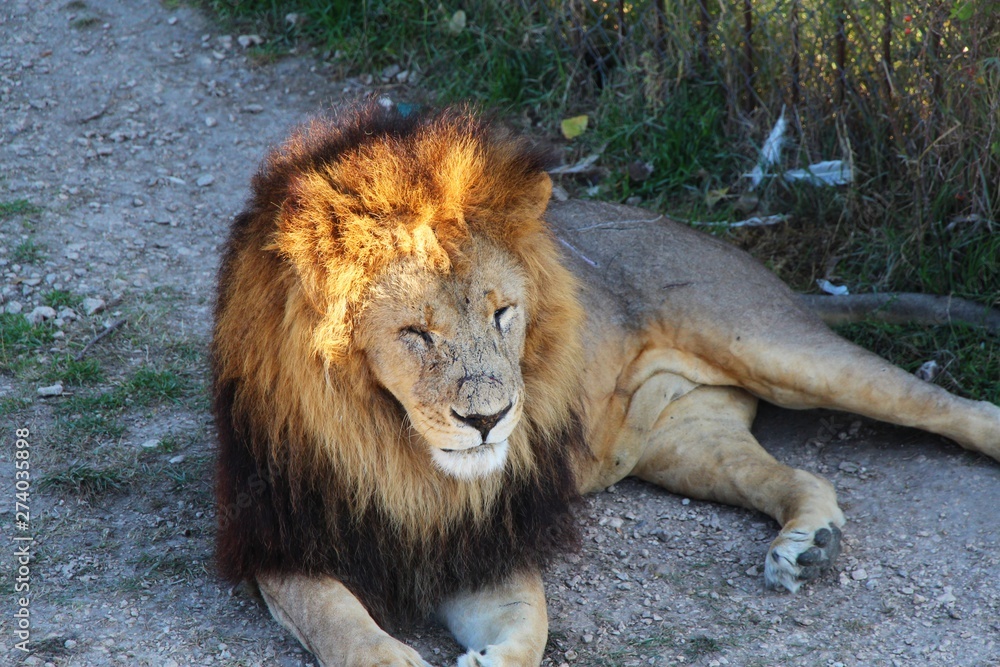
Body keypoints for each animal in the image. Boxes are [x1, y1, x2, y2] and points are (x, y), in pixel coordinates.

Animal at [212, 102, 1000, 667]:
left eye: (504, 314)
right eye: (416, 334)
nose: (489, 420)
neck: (400, 452)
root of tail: (702, 233)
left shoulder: (493, 537)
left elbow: (530, 626)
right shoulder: (282, 538)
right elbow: (338, 619)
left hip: (777, 345)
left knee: (950, 403)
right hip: (685, 443)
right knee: (800, 476)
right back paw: (808, 544)